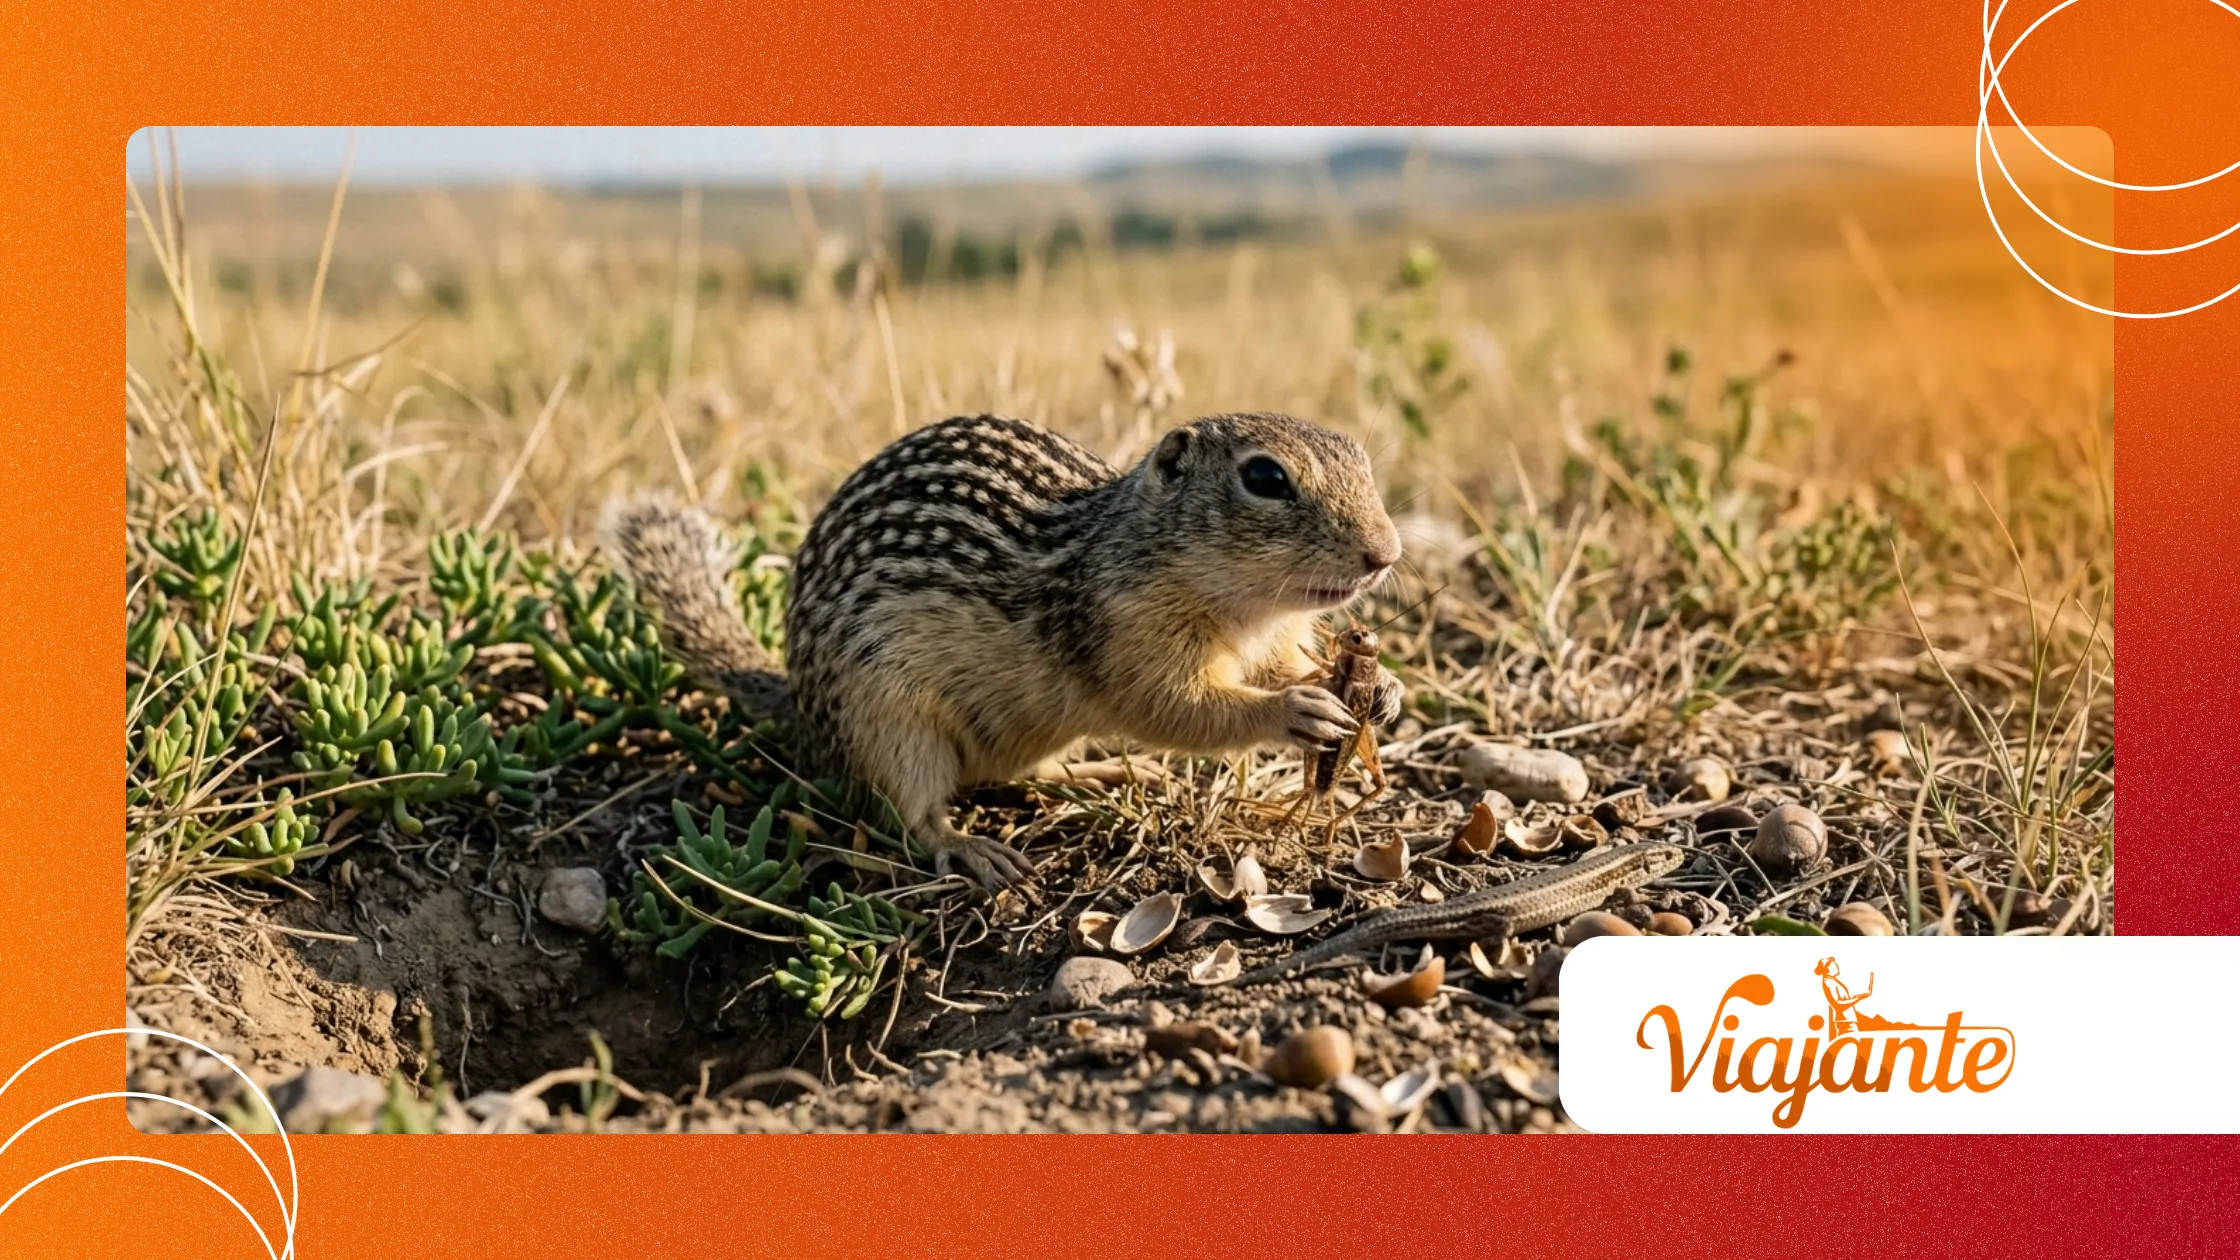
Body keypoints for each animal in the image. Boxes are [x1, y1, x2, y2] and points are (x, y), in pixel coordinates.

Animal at [602, 412, 1405, 888]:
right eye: (1265, 477)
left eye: (1365, 460)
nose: (1386, 554)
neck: (1243, 608)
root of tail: (799, 703)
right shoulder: (1126, 634)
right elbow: (1179, 710)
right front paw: (1294, 711)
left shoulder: (1271, 638)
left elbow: (1281, 667)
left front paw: (1383, 688)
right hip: (886, 721)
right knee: (911, 813)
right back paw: (970, 847)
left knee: (1023, 772)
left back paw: (1103, 772)